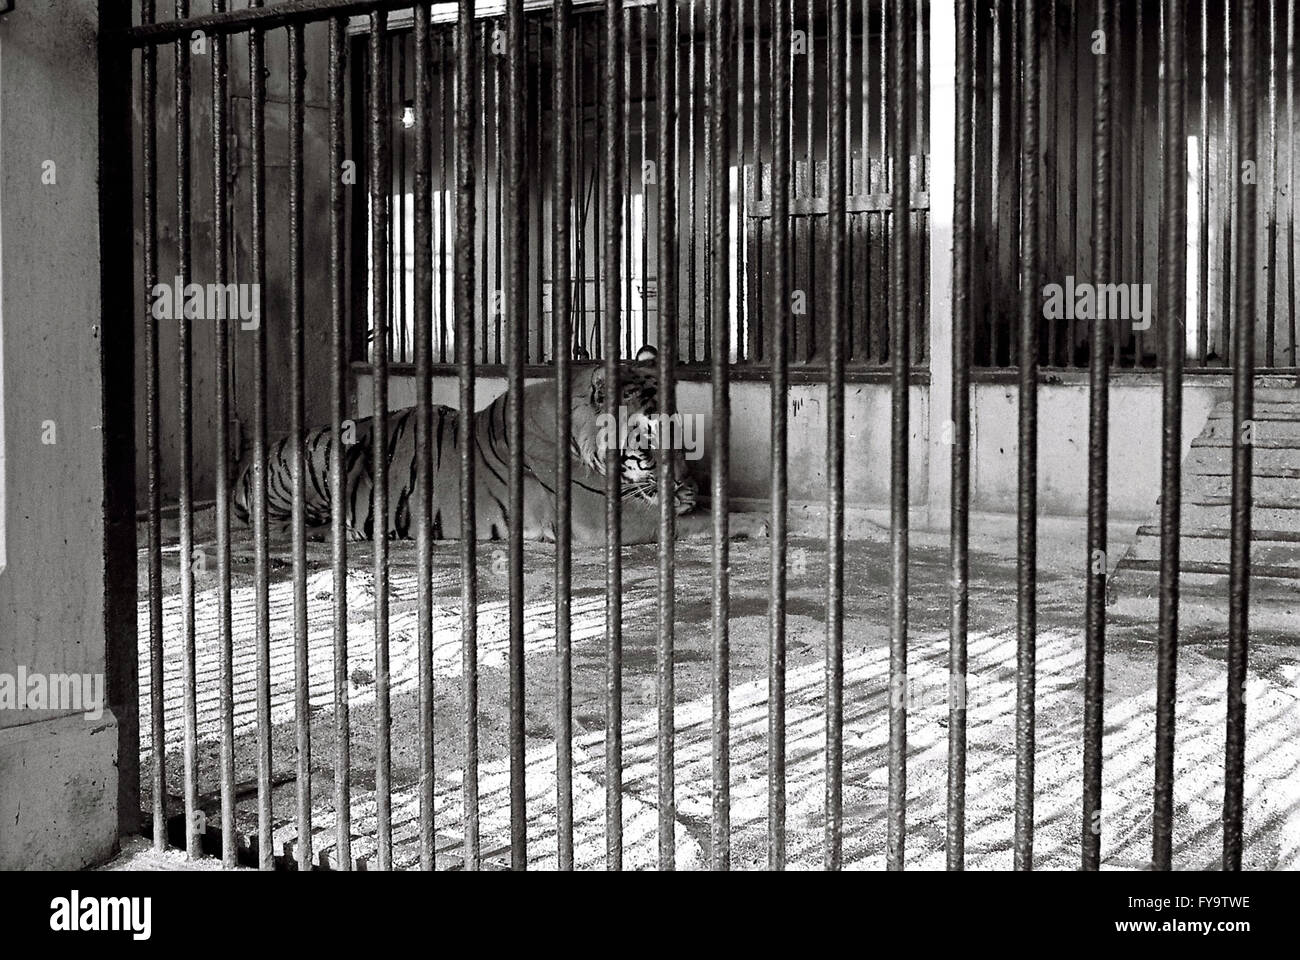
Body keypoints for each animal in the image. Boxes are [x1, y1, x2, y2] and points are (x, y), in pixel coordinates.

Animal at [231, 353, 769, 546]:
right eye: (653, 441)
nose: (683, 483)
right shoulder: (602, 516)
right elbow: (691, 520)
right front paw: (755, 522)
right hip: (325, 450)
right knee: (276, 526)